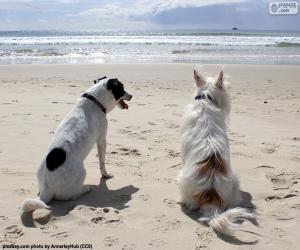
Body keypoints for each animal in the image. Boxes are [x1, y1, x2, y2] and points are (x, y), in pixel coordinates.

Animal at [21, 76, 132, 213]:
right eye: (122, 88)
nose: (131, 96)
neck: (95, 100)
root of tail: (47, 188)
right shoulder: (101, 140)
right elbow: (102, 162)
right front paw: (105, 175)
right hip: (82, 172)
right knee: (71, 195)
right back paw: (85, 189)